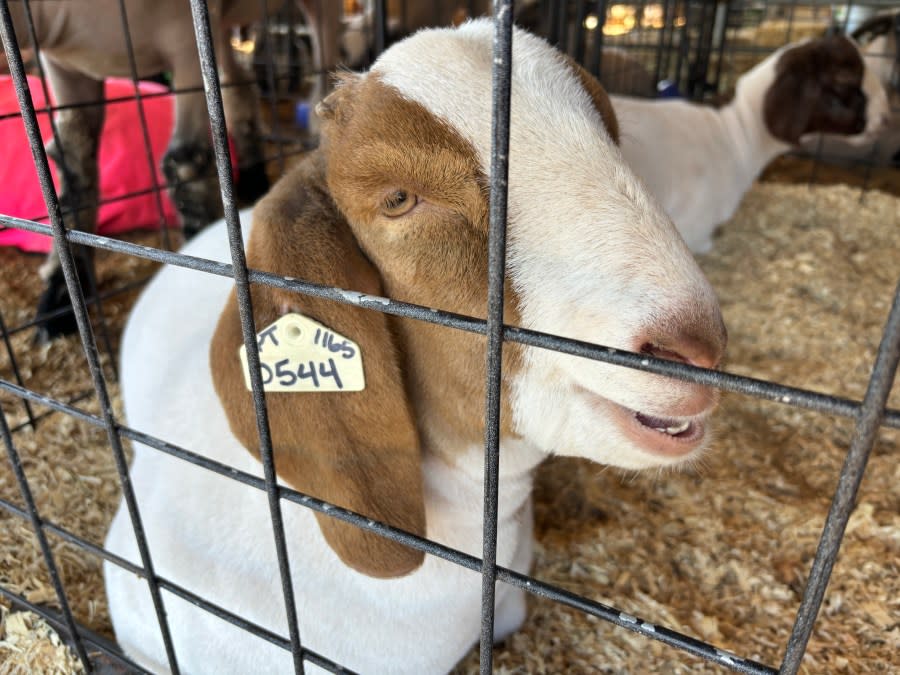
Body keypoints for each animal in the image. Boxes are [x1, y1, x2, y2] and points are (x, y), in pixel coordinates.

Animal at [1, 0, 342, 344]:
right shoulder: (65, 69)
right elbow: (74, 168)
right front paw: (59, 302)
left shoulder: (186, 42)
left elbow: (185, 161)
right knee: (239, 87)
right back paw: (254, 179)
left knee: (323, 73)